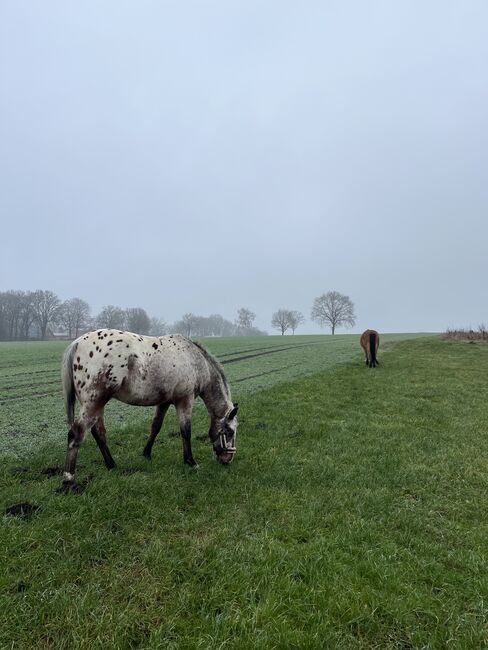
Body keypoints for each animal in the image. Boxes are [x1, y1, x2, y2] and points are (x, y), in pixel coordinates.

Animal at [60, 330, 239, 486]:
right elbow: (186, 431)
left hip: (97, 405)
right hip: (94, 403)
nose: (227, 460)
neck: (195, 360)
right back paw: (69, 478)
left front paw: (146, 454)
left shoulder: (164, 402)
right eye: (230, 432)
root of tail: (77, 342)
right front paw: (190, 461)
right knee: (76, 434)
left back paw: (111, 465)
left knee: (99, 433)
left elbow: (156, 427)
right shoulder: (184, 401)